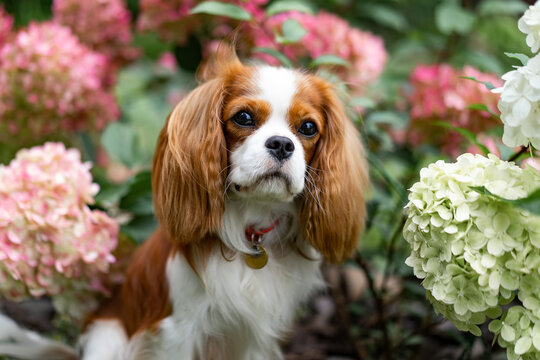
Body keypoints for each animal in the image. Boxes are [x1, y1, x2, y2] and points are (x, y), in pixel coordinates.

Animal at [0, 50, 368, 360]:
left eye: (308, 127)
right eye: (244, 117)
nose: (281, 144)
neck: (250, 228)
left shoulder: (257, 337)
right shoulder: (177, 331)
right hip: (109, 337)